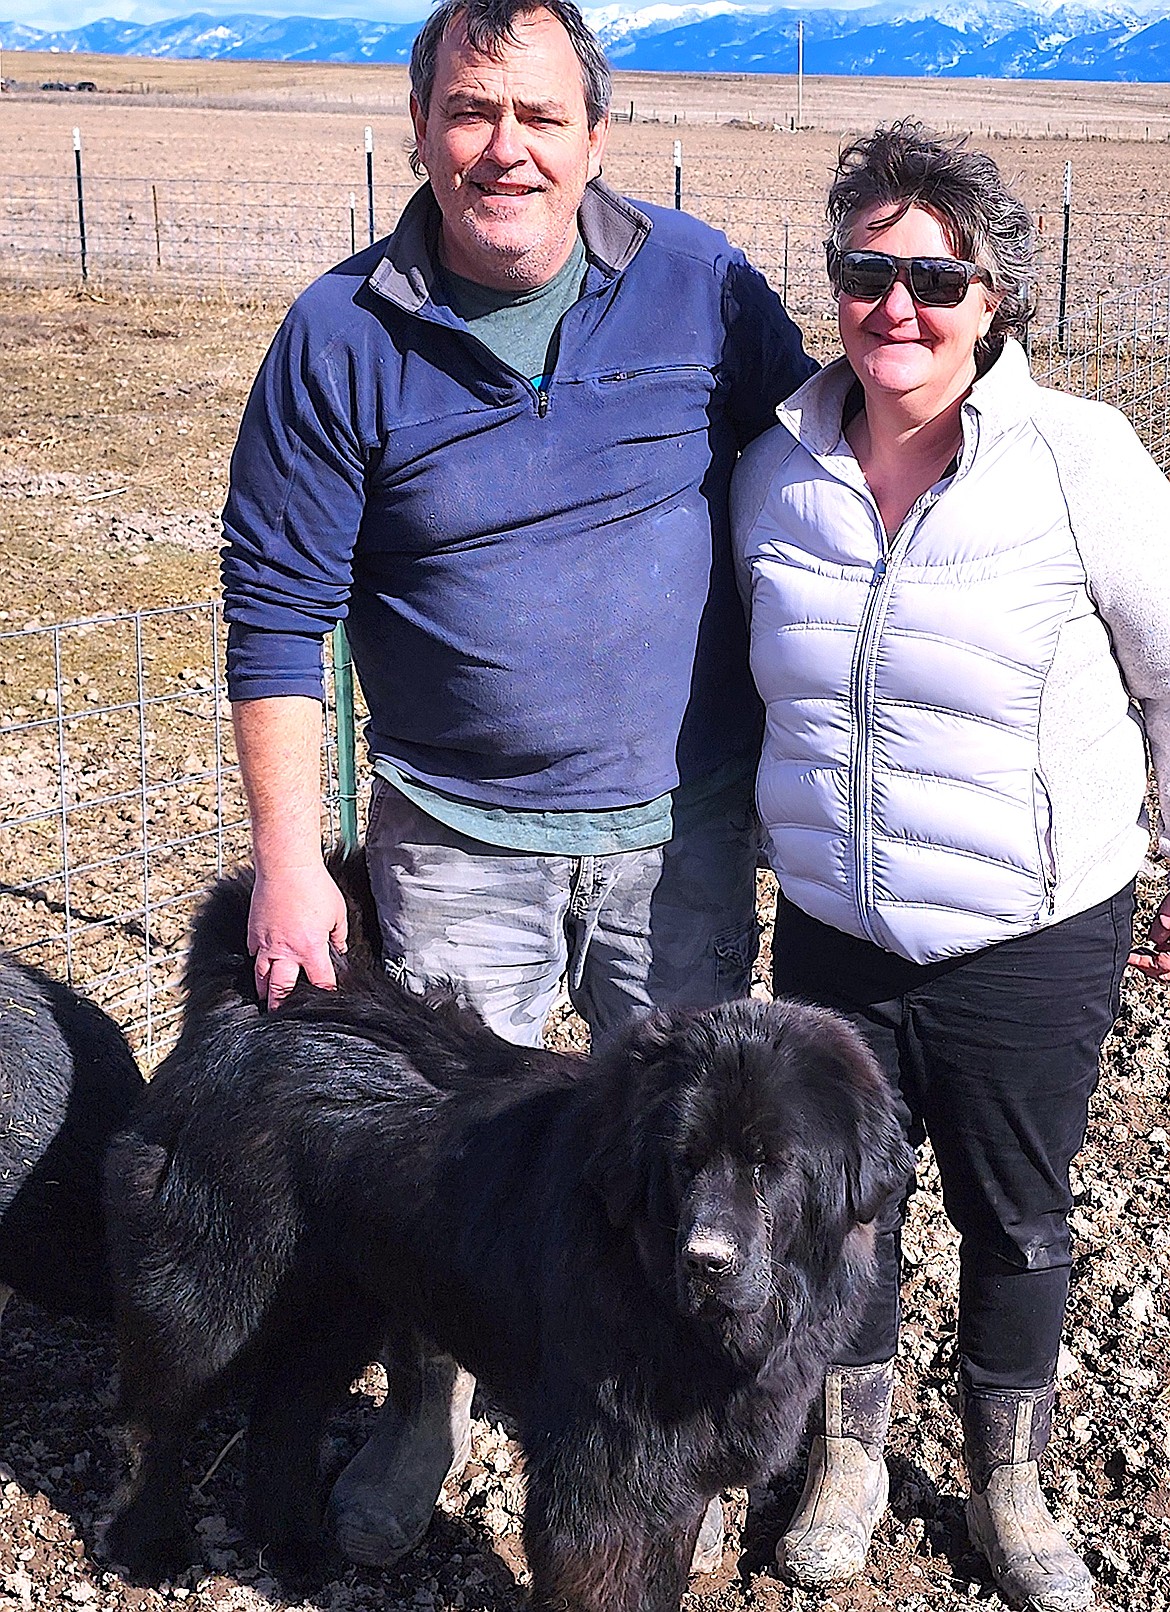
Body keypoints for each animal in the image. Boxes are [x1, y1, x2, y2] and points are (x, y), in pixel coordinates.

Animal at [105, 864, 908, 1605]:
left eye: (772, 1164)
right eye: (684, 1162)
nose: (705, 1260)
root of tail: (242, 1012)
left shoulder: (676, 1470)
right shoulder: (605, 1472)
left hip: (339, 1300)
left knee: (285, 1409)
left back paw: (292, 1546)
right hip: (212, 1295)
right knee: (156, 1416)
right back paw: (149, 1544)